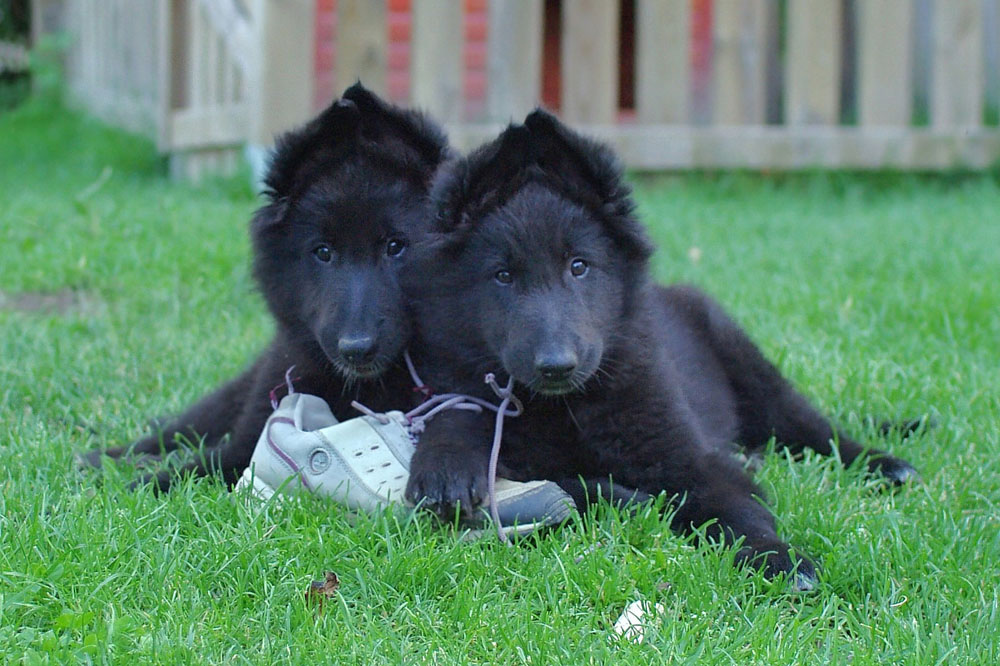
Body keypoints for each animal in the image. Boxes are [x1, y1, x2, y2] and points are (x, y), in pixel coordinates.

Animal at [82, 84, 450, 488]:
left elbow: (202, 466)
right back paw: (104, 458)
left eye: (396, 247)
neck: (362, 387)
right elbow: (201, 463)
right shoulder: (253, 429)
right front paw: (133, 483)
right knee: (179, 430)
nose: (356, 349)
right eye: (323, 252)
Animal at [402, 110, 916, 588]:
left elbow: (735, 508)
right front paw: (446, 464)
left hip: (751, 370)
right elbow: (535, 465)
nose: (556, 367)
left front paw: (777, 559)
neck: (566, 409)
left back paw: (885, 465)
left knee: (817, 431)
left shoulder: (690, 458)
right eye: (503, 276)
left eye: (579, 266)